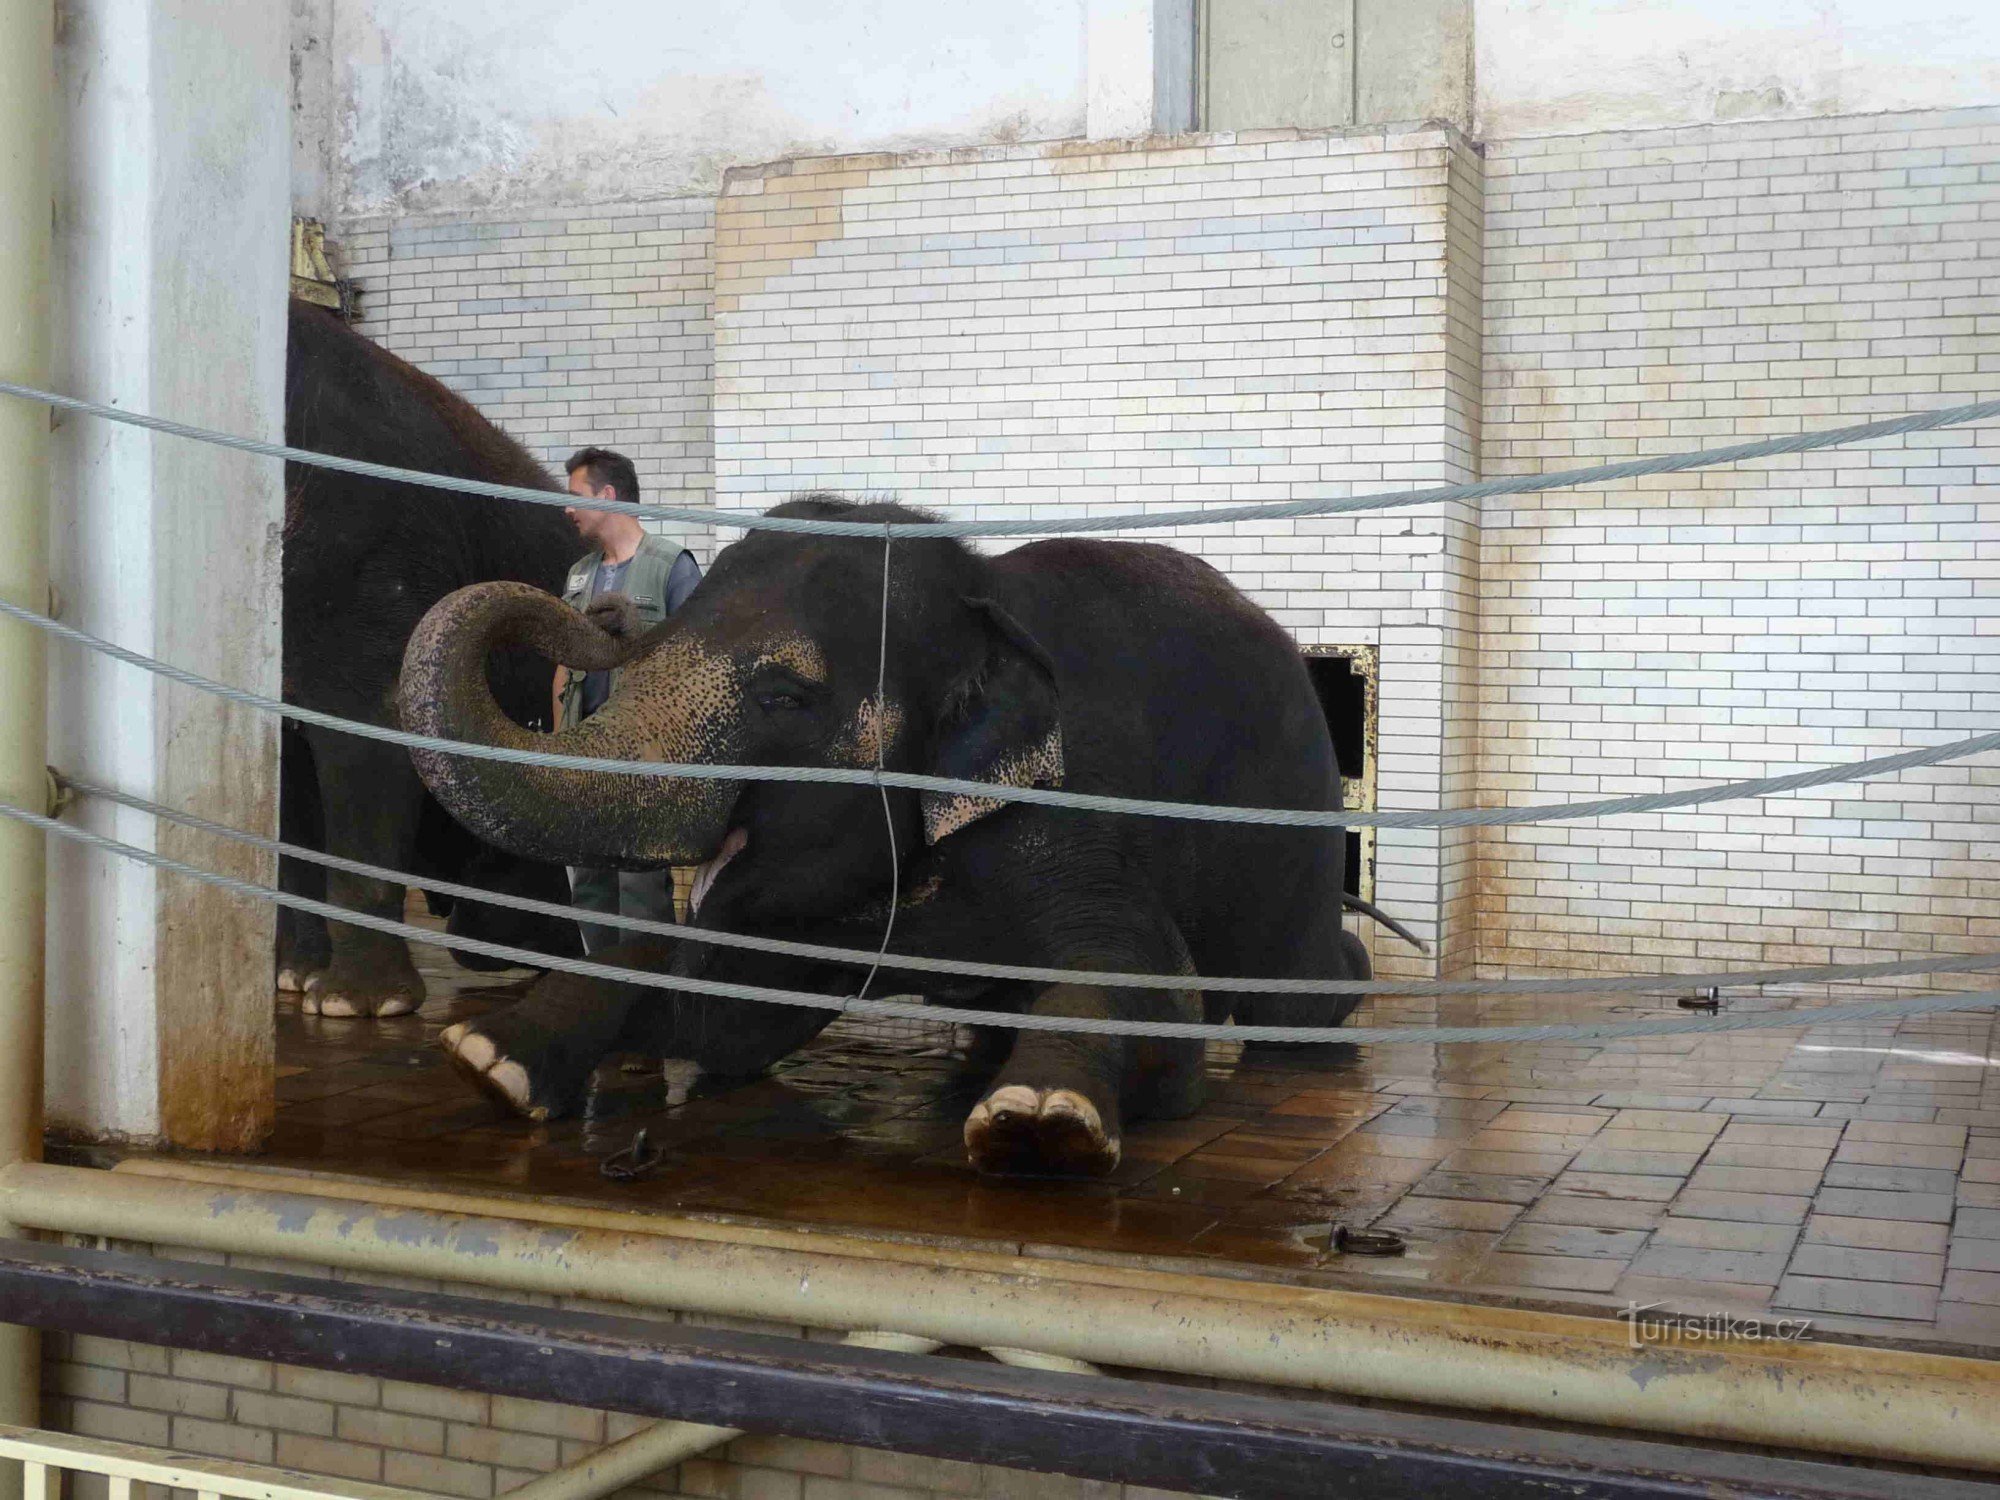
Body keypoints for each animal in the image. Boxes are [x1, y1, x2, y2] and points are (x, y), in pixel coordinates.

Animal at [398, 500, 1416, 1184]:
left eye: (783, 697)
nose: (599, 619)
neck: (977, 595)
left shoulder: (1062, 804)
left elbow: (1161, 995)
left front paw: (1037, 1123)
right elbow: (728, 1016)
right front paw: (486, 1060)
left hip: (1288, 797)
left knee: (1288, 973)